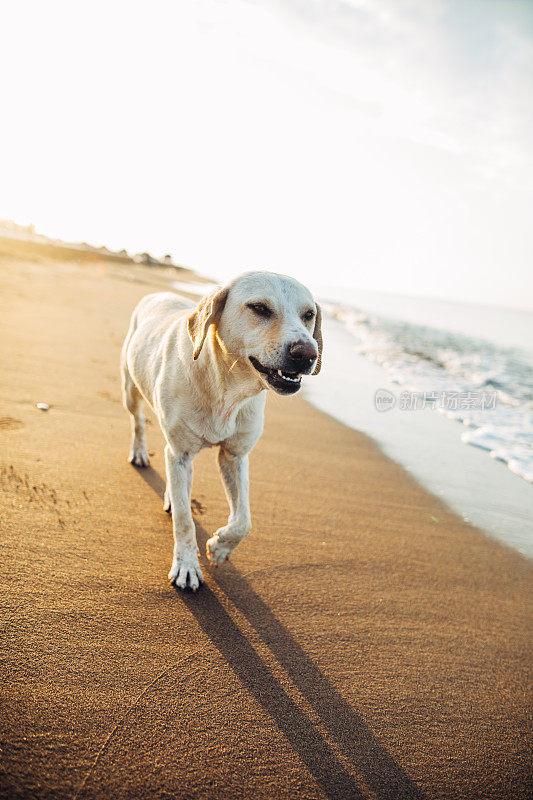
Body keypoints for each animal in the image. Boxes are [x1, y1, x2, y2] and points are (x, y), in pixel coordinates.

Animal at [120, 272, 320, 592]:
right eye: (259, 308)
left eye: (309, 315)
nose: (307, 354)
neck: (227, 390)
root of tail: (158, 294)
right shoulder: (181, 452)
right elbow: (185, 521)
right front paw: (187, 565)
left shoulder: (234, 456)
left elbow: (244, 520)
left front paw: (221, 546)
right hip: (130, 388)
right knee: (138, 421)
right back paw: (140, 453)